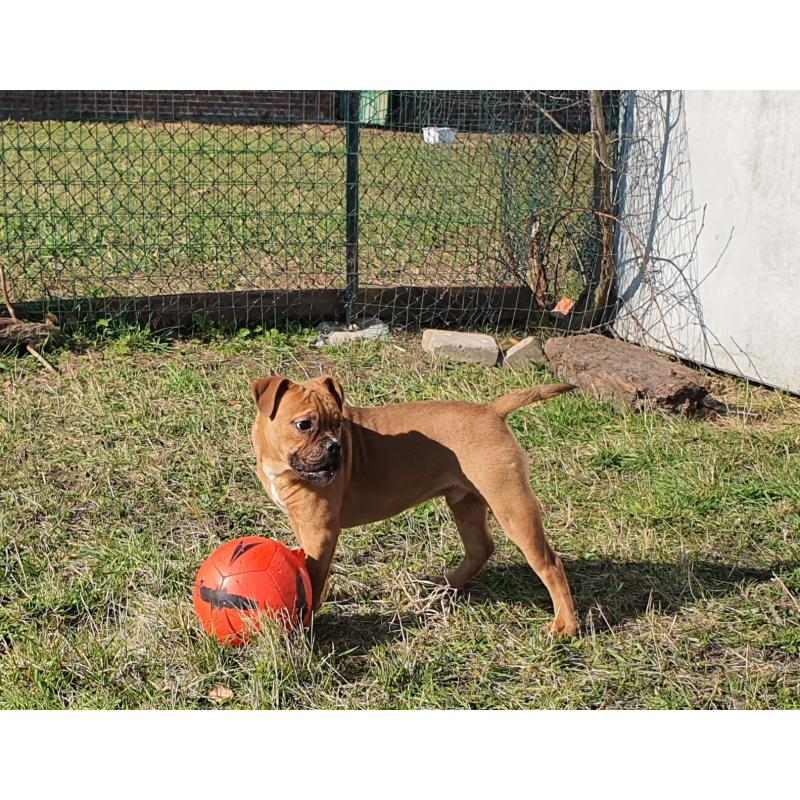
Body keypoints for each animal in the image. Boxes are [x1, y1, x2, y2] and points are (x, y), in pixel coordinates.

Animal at [250, 376, 576, 636]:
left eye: (339, 423)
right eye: (304, 425)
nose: (335, 447)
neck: (281, 464)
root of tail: (492, 410)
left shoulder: (320, 531)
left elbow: (313, 575)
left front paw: (305, 622)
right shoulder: (302, 524)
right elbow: (313, 570)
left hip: (511, 505)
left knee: (549, 563)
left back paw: (566, 625)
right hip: (466, 502)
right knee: (480, 547)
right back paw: (447, 584)